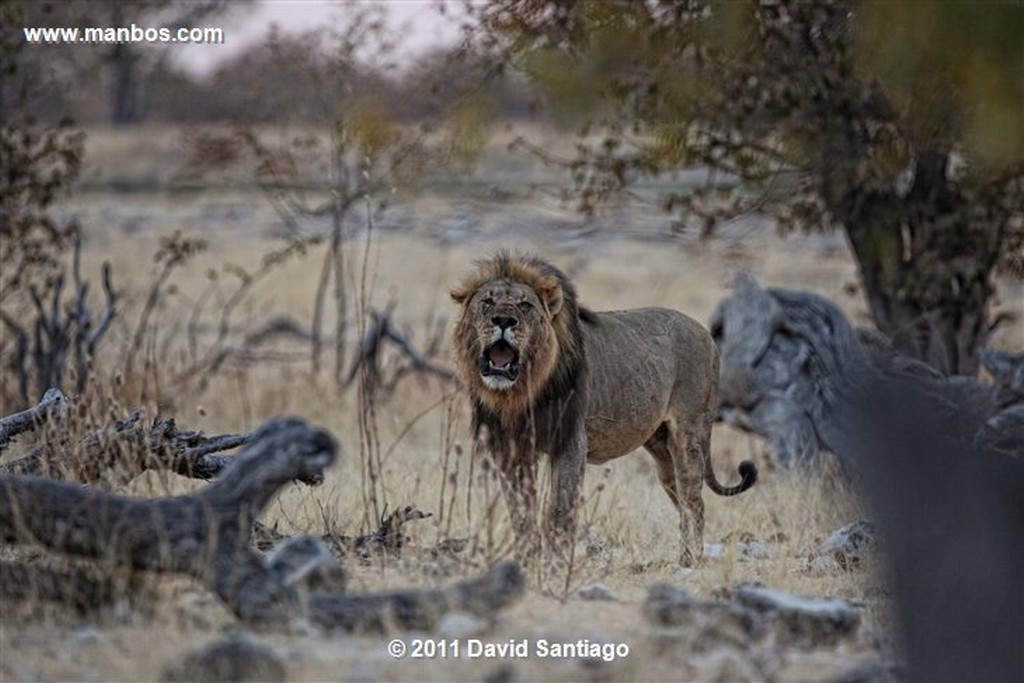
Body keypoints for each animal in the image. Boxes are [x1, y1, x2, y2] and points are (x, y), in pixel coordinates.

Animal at [452, 252, 757, 565]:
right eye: (487, 302)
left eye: (525, 305)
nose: (503, 320)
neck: (520, 393)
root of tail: (707, 334)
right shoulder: (511, 449)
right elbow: (520, 512)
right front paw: (527, 560)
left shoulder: (570, 441)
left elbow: (559, 509)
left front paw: (556, 564)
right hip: (662, 451)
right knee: (683, 504)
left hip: (689, 434)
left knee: (694, 502)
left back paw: (690, 562)